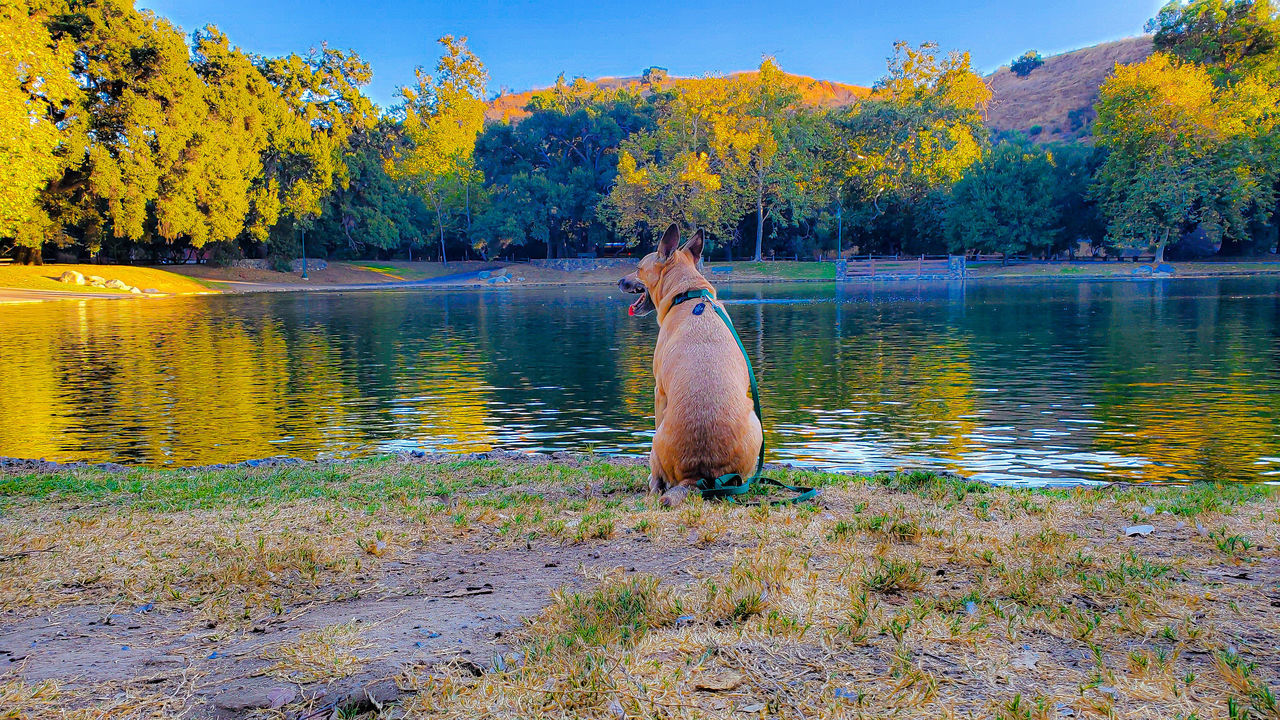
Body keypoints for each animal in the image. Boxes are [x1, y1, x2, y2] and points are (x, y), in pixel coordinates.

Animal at [616, 224, 757, 504]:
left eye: (638, 268)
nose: (619, 281)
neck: (689, 295)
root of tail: (699, 476)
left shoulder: (658, 391)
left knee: (658, 477)